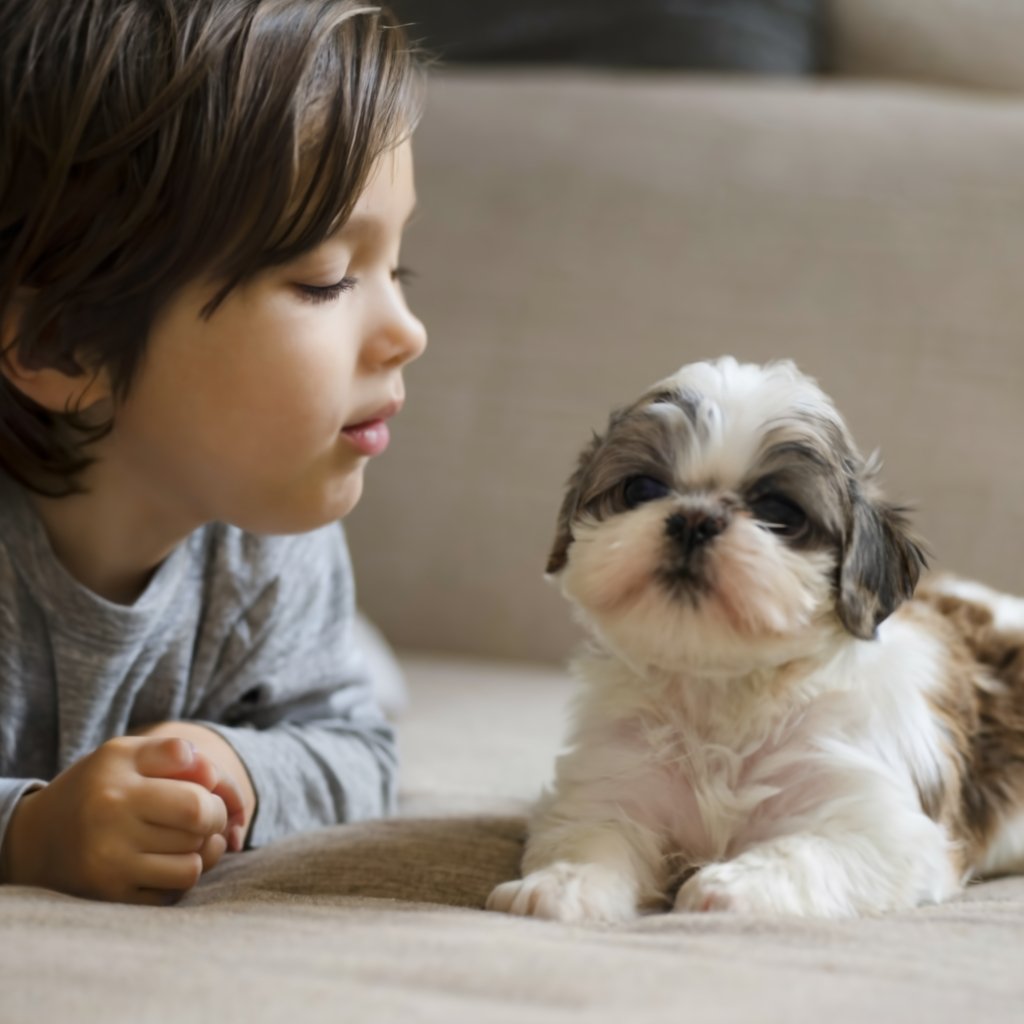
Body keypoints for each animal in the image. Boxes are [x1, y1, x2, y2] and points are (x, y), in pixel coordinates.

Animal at [487, 358, 1024, 921]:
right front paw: (562, 883)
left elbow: (812, 852)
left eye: (779, 512)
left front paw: (731, 885)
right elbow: (591, 835)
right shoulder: (615, 779)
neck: (721, 693)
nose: (693, 519)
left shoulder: (881, 823)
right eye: (641, 490)